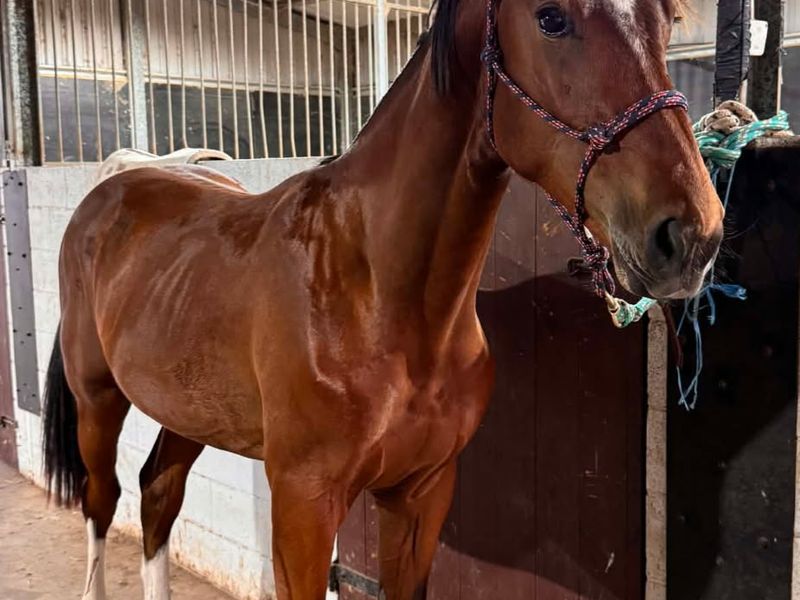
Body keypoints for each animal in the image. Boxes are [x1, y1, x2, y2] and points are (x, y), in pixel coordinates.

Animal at [41, 0, 723, 598]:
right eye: (551, 18)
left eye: (668, 20)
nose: (693, 235)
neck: (381, 298)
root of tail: (117, 180)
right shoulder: (304, 505)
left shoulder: (422, 493)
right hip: (97, 401)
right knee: (102, 503)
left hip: (190, 408)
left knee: (159, 495)